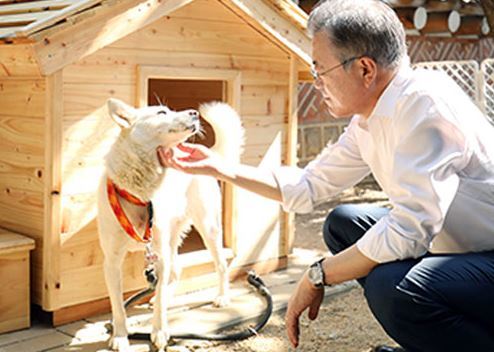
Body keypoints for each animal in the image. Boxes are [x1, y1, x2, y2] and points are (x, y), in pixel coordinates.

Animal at [96, 97, 243, 350]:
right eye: (161, 112)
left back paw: (222, 297)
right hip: (173, 236)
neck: (139, 193)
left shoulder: (159, 254)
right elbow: (117, 306)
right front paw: (120, 336)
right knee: (176, 271)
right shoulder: (112, 261)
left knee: (220, 264)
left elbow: (161, 303)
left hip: (207, 228)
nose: (194, 113)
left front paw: (159, 331)